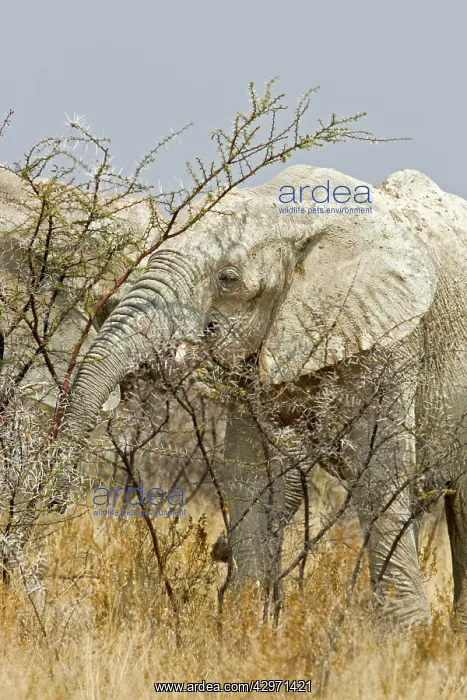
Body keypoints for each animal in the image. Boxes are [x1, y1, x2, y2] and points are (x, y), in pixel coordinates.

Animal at [58, 164, 467, 629]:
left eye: (228, 279)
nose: (54, 501)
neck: (290, 216)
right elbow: (246, 471)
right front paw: (245, 623)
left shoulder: (391, 332)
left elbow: (379, 472)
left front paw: (406, 635)